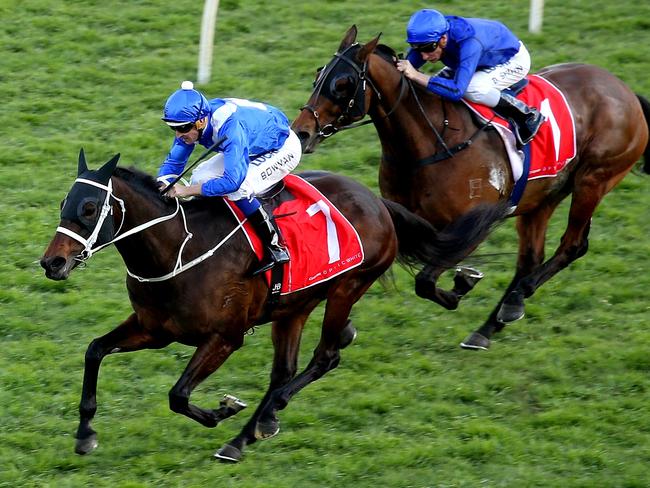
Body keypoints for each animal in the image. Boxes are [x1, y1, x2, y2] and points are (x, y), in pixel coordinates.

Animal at [40, 149, 498, 462]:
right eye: (63, 203)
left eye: (90, 208)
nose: (52, 262)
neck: (177, 250)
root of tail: (377, 201)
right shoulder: (154, 329)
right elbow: (95, 350)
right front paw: (84, 432)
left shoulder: (225, 337)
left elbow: (178, 394)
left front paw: (222, 410)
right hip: (294, 307)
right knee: (286, 372)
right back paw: (257, 425)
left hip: (346, 287)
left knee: (324, 357)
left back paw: (249, 430)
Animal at [292, 24, 644, 348]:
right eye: (318, 76)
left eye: (343, 84)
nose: (302, 132)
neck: (432, 142)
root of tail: (624, 89)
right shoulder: (407, 221)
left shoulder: (476, 222)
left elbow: (425, 281)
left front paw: (461, 286)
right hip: (543, 198)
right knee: (530, 258)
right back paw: (493, 323)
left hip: (594, 179)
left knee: (573, 245)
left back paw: (517, 297)